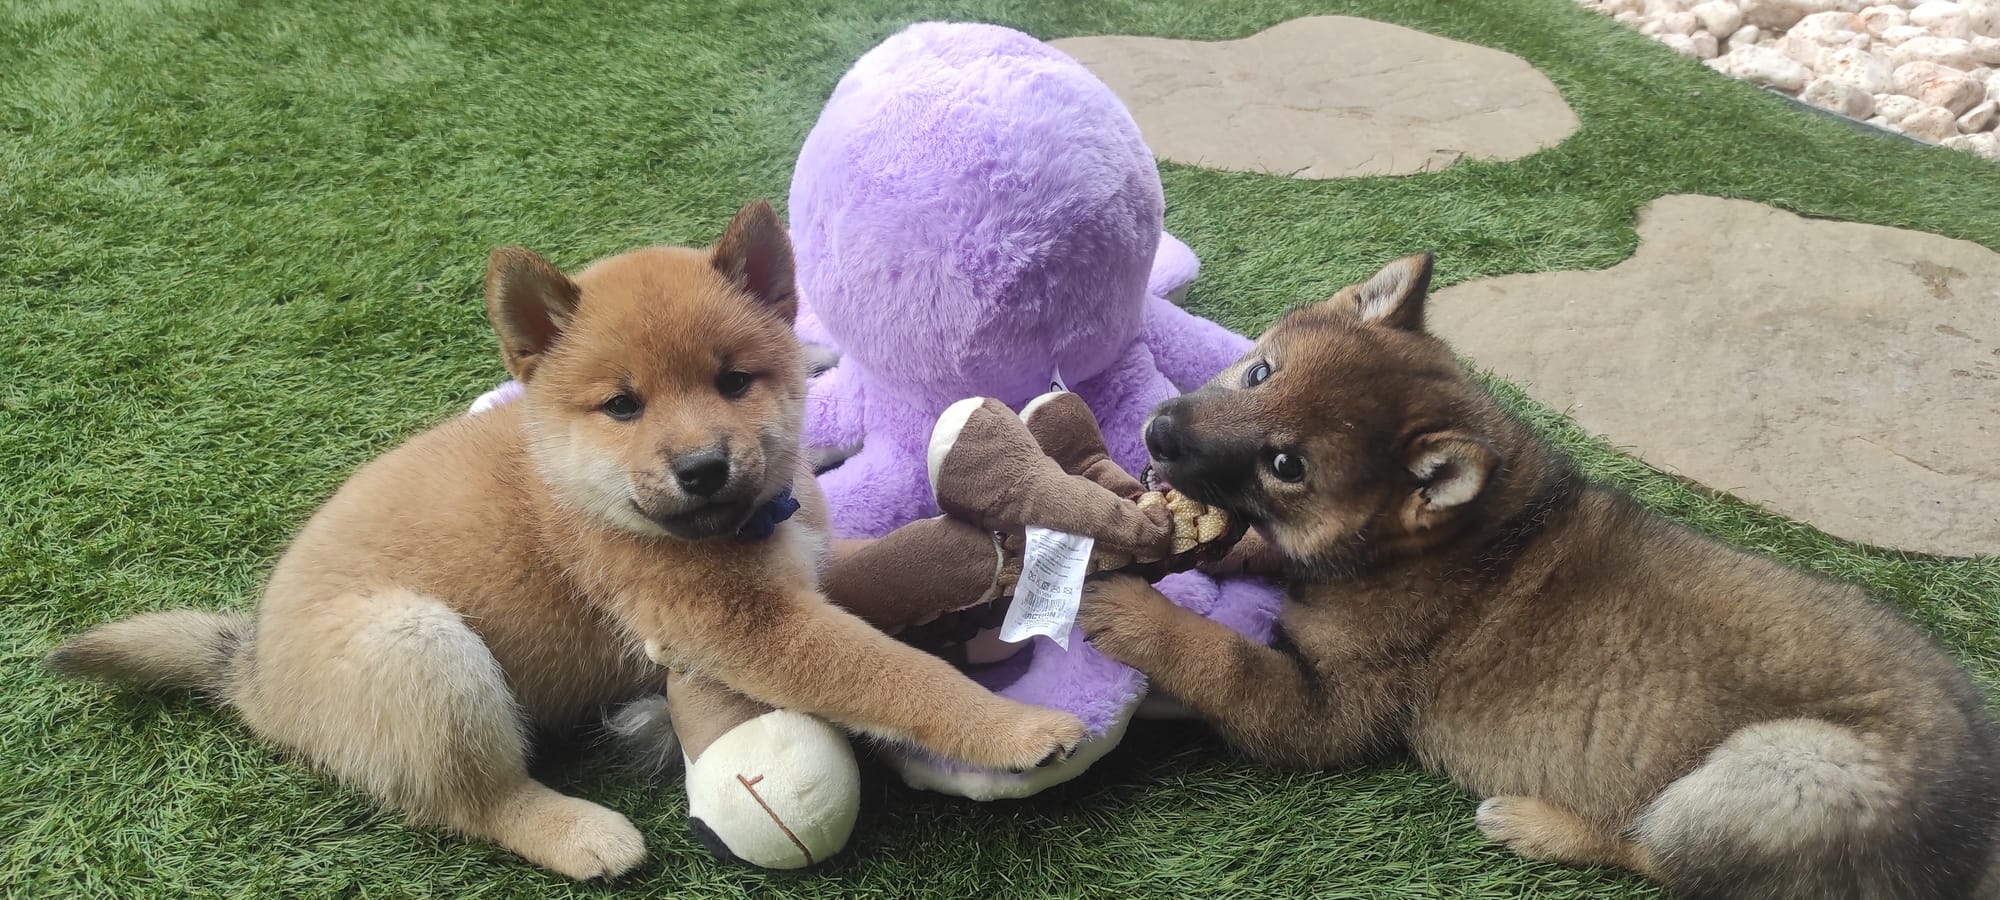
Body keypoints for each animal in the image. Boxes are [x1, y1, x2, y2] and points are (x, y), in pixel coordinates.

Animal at [45, 201, 1085, 880]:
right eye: (622, 405)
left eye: (734, 380)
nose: (703, 467)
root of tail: (253, 670)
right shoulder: (747, 627)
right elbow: (899, 677)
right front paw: (1017, 731)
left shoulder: (801, 573)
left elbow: (882, 568)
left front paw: (980, 551)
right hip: (421, 649)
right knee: (477, 801)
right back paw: (583, 834)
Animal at [1079, 252, 2000, 899]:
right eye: (1260, 371)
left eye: (1286, 466)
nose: (1157, 432)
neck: (1438, 545)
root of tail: (1977, 835)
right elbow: (1260, 558)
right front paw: (1205, 545)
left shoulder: (1329, 712)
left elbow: (1222, 660)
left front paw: (1131, 611)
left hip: (1775, 774)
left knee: (1660, 860)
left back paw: (1535, 824)